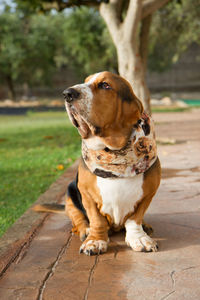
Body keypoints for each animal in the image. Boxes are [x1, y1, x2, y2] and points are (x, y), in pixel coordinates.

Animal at [33, 71, 161, 255]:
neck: (113, 151)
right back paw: (85, 230)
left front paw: (139, 238)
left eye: (105, 85)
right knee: (78, 220)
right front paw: (95, 241)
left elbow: (134, 220)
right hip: (70, 194)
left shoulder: (148, 194)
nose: (67, 94)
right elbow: (97, 220)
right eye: (85, 81)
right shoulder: (86, 195)